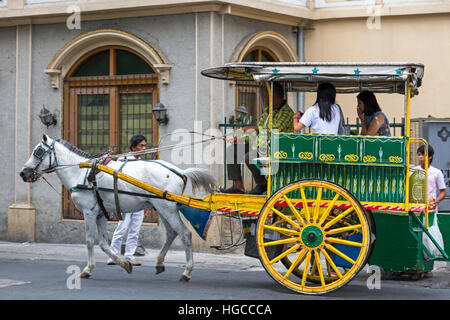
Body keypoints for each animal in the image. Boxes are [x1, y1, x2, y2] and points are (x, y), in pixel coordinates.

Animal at [20, 134, 216, 280]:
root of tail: (180, 172)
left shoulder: (89, 213)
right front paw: (124, 263)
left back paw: (187, 271)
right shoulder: (100, 214)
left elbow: (89, 241)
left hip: (167, 208)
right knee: (171, 233)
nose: (23, 173)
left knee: (185, 234)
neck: (81, 172)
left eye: (38, 152)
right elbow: (103, 244)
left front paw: (87, 269)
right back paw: (160, 262)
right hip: (163, 209)